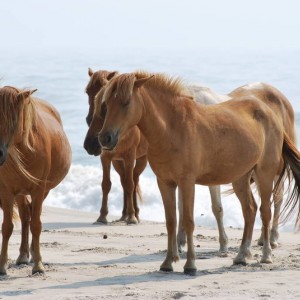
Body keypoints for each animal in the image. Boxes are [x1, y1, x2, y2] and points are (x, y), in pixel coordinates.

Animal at [0, 85, 71, 276]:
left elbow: (37, 225)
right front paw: (2, 266)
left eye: (14, 120)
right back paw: (23, 255)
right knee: (25, 216)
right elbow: (7, 227)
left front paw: (38, 265)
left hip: (44, 190)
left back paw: (31, 254)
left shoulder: (39, 189)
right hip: (19, 192)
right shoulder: (7, 191)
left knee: (31, 216)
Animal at [83, 68, 148, 223]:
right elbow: (106, 184)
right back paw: (124, 214)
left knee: (134, 180)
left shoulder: (130, 157)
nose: (90, 145)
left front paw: (132, 216)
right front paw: (102, 216)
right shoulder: (106, 158)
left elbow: (130, 185)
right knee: (124, 181)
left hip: (141, 159)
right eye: (87, 92)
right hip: (118, 162)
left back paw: (134, 214)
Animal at [98, 71, 300, 276]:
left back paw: (266, 255)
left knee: (265, 211)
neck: (172, 128)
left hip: (264, 174)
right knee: (249, 210)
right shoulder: (165, 182)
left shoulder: (187, 182)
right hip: (240, 178)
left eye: (126, 102)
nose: (105, 138)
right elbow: (171, 221)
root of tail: (270, 112)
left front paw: (190, 265)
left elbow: (188, 221)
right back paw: (241, 256)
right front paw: (167, 263)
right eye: (106, 103)